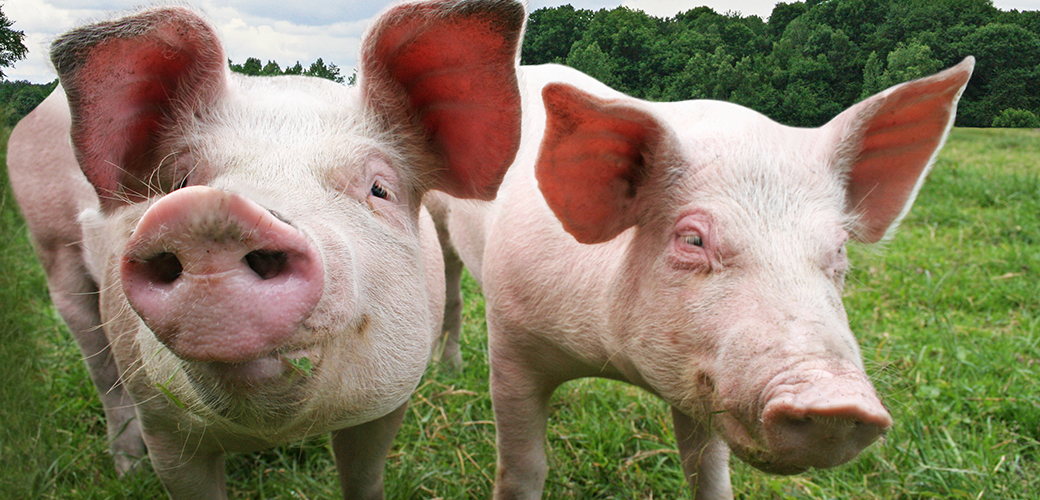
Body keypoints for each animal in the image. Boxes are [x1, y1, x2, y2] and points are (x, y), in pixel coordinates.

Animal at [6, 1, 528, 496]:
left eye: (380, 188)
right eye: (179, 182)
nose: (211, 217)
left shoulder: (388, 403)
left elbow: (364, 478)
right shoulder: (163, 428)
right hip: (53, 248)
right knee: (97, 362)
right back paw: (129, 471)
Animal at [430, 56, 973, 496]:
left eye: (838, 248)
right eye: (692, 240)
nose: (837, 400)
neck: (609, 358)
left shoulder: (702, 381)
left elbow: (708, 475)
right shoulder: (511, 337)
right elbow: (523, 469)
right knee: (451, 286)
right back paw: (449, 369)